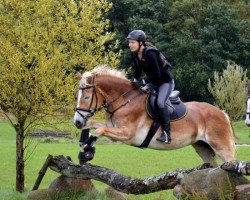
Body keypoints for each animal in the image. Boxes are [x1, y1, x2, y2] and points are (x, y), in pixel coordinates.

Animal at [73, 65, 236, 166]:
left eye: (86, 97)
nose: (77, 122)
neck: (124, 100)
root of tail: (222, 113)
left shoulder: (128, 134)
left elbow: (99, 130)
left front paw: (87, 150)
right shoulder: (114, 130)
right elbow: (94, 125)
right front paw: (85, 147)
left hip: (222, 146)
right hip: (203, 147)